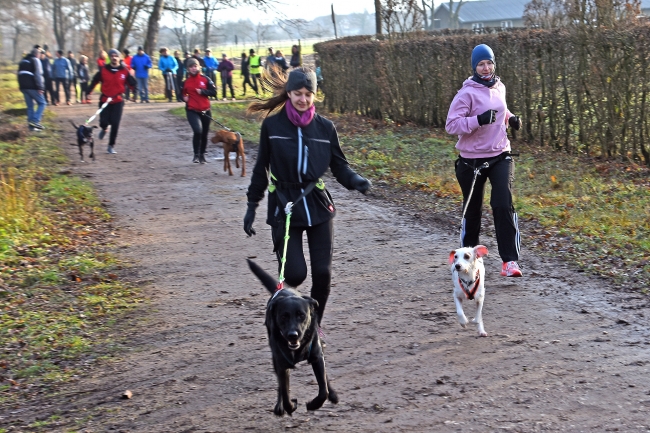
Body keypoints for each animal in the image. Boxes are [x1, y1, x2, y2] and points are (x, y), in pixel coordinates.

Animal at [247, 258, 340, 416]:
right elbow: (285, 392)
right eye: (284, 316)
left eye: (301, 315)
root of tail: (281, 289)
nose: (292, 335)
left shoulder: (316, 357)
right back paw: (279, 406)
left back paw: (332, 394)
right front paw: (290, 405)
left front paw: (314, 404)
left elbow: (323, 390)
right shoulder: (281, 364)